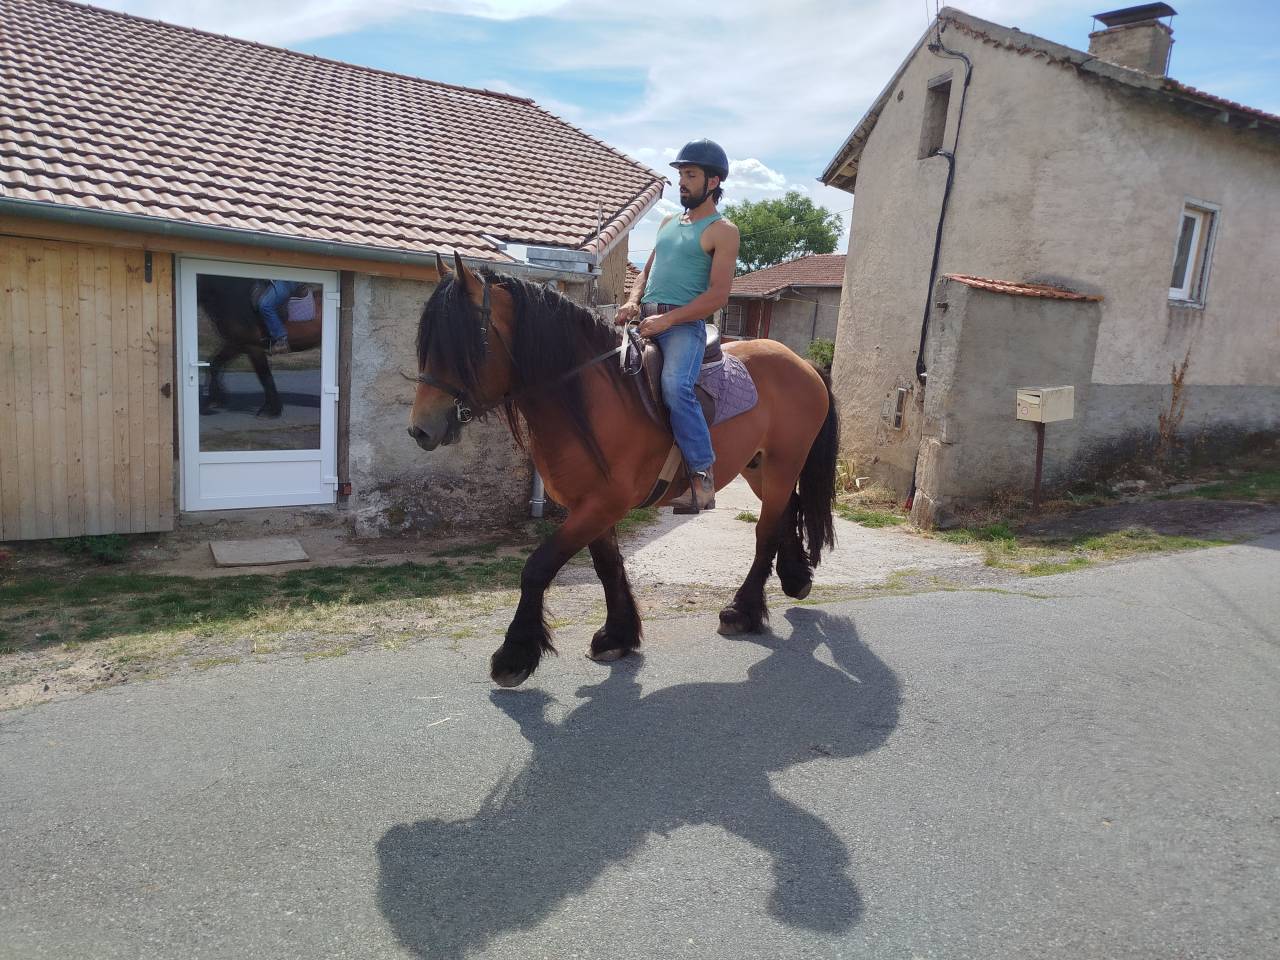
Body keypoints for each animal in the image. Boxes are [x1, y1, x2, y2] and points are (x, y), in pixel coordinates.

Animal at [196, 277, 323, 418]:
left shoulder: (252, 347)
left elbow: (265, 377)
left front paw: (270, 410)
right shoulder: (236, 344)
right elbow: (214, 364)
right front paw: (214, 400)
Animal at [409, 253, 838, 688]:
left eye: (460, 344)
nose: (420, 429)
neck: (590, 397)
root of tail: (802, 362)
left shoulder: (602, 504)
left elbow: (538, 567)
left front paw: (515, 654)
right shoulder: (591, 505)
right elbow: (607, 566)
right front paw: (617, 635)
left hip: (784, 463)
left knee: (766, 531)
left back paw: (743, 611)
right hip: (758, 467)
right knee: (788, 510)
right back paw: (796, 578)